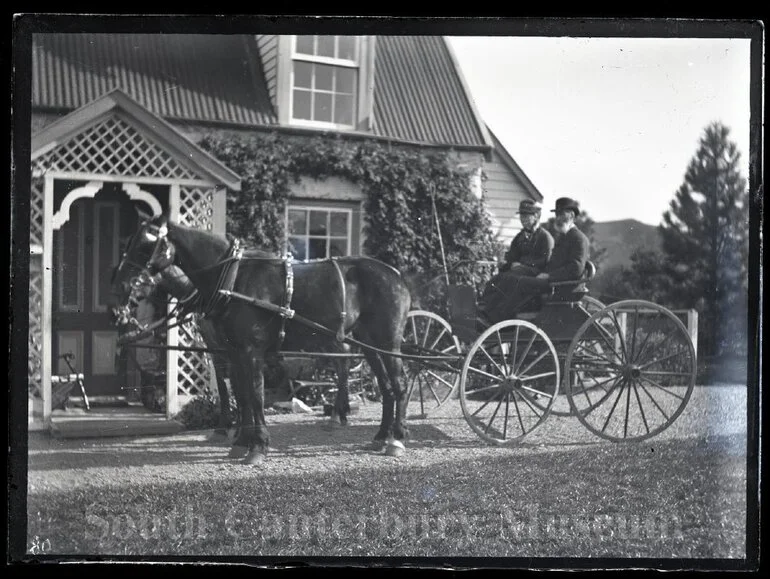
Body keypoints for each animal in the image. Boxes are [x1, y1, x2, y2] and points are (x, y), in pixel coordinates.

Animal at [111, 214, 412, 466]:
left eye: (145, 245)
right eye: (129, 243)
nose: (120, 288)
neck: (232, 279)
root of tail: (396, 275)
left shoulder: (250, 350)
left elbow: (255, 395)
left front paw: (257, 446)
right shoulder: (233, 351)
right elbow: (241, 394)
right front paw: (242, 442)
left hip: (388, 343)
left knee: (398, 385)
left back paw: (396, 438)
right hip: (369, 344)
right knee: (385, 387)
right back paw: (380, 436)